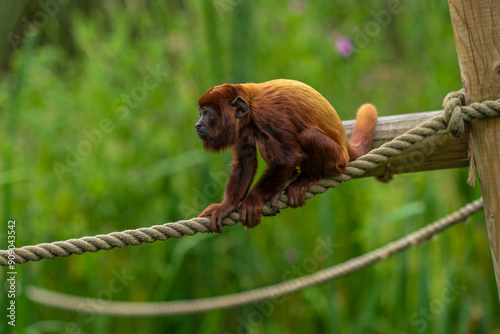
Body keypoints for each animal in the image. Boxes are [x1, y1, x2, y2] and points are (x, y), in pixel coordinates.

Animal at [193, 79, 376, 234]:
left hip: (337, 160)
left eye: (207, 114)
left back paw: (306, 178)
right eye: (200, 113)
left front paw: (252, 201)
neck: (250, 106)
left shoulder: (269, 116)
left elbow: (289, 158)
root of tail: (345, 145)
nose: (197, 125)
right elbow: (245, 162)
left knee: (308, 136)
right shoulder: (243, 127)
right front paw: (226, 206)